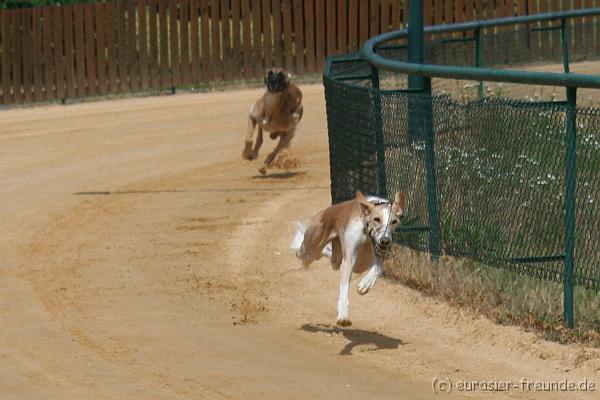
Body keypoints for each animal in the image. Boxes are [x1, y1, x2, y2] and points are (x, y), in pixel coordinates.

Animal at [290, 190, 406, 324]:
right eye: (376, 219)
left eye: (394, 221)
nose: (385, 240)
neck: (366, 231)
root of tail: (325, 211)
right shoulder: (349, 259)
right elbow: (344, 287)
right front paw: (343, 314)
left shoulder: (375, 254)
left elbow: (379, 267)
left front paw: (364, 285)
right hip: (312, 245)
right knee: (304, 252)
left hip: (341, 257)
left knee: (332, 258)